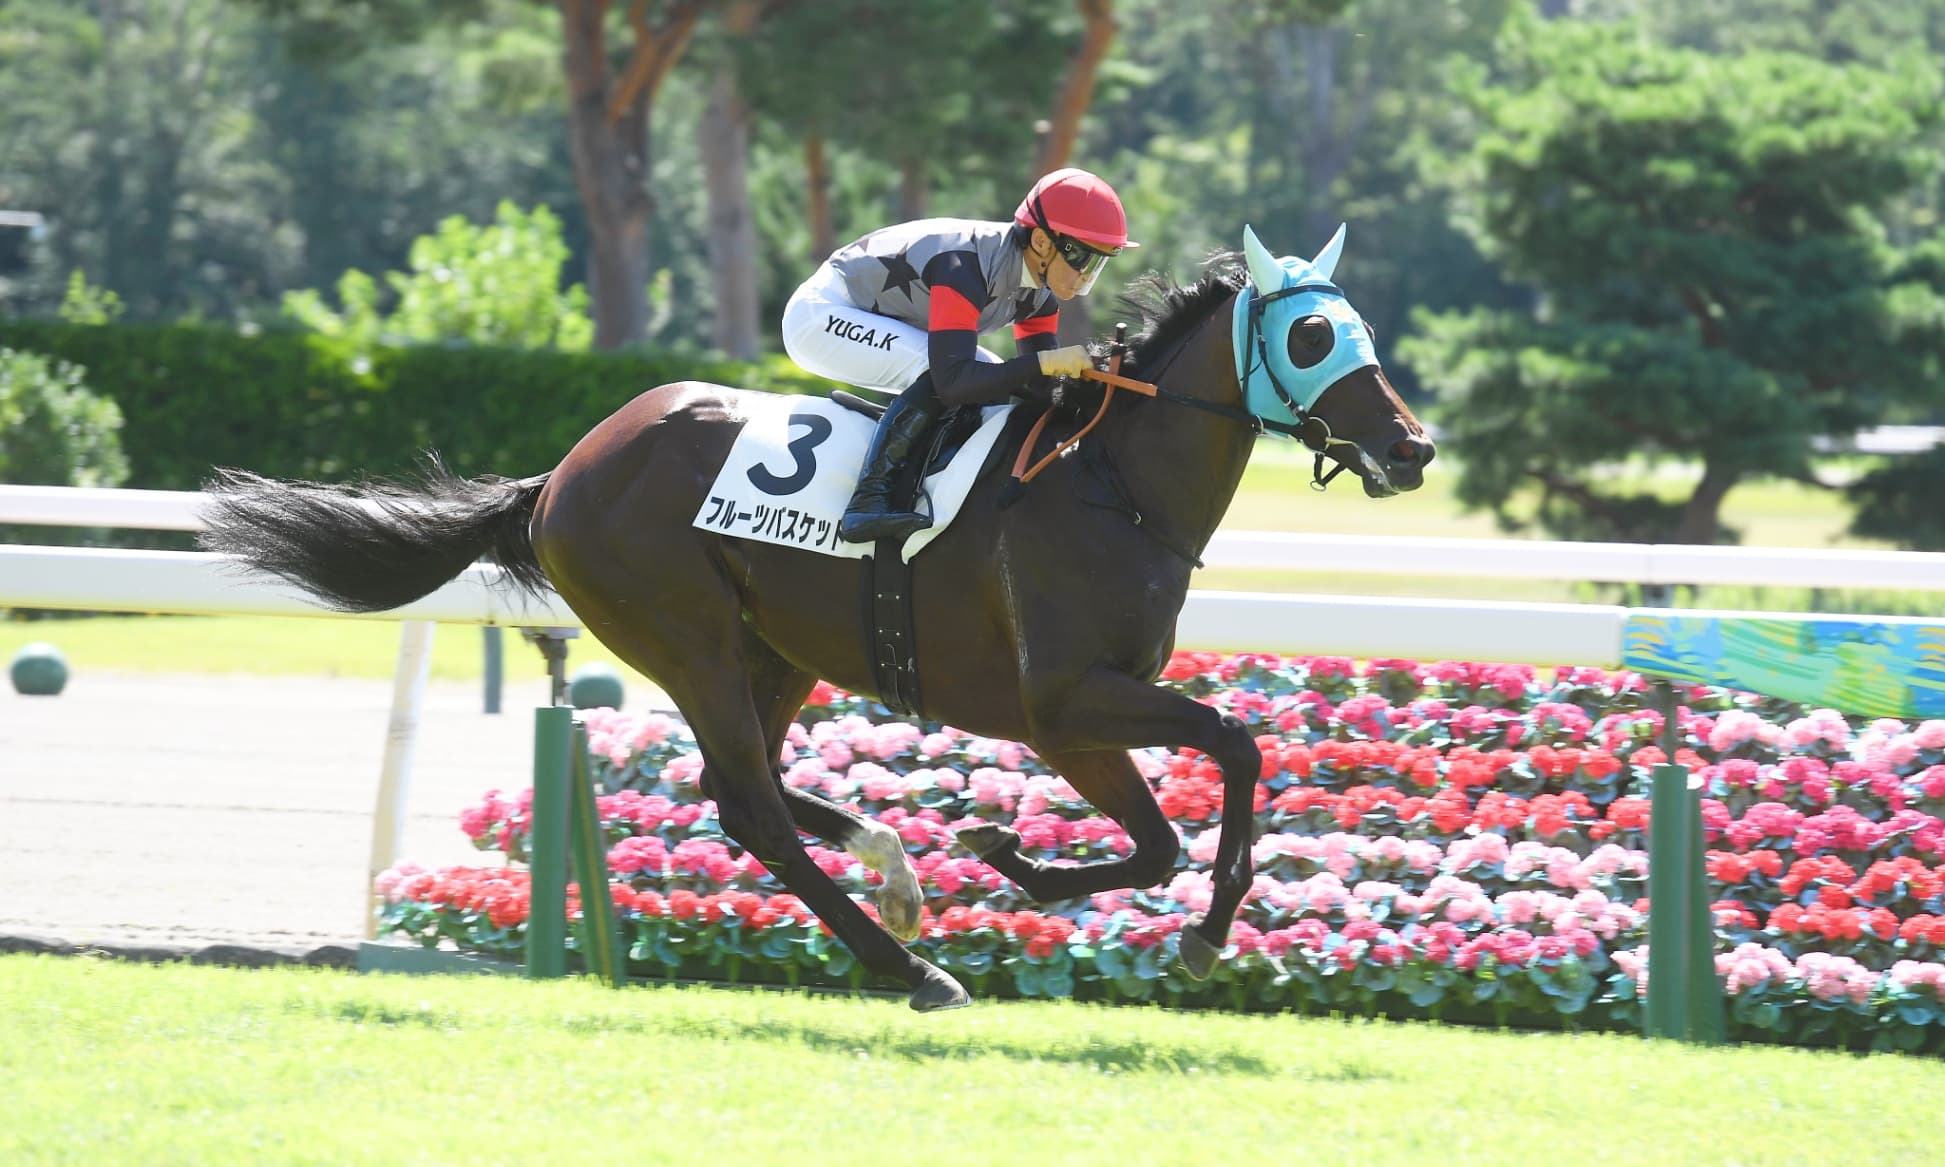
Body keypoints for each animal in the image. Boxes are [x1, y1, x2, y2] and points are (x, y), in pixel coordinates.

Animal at [201, 225, 1434, 1012]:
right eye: (1313, 338)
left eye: (1359, 330)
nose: (1412, 447)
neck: (1109, 483)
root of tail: (561, 473)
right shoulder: (1063, 702)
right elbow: (1229, 749)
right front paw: (1200, 930)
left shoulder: (1080, 715)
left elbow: (1163, 829)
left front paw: (1004, 854)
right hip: (688, 635)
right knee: (749, 803)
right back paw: (912, 966)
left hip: (774, 649)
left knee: (733, 786)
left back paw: (895, 872)